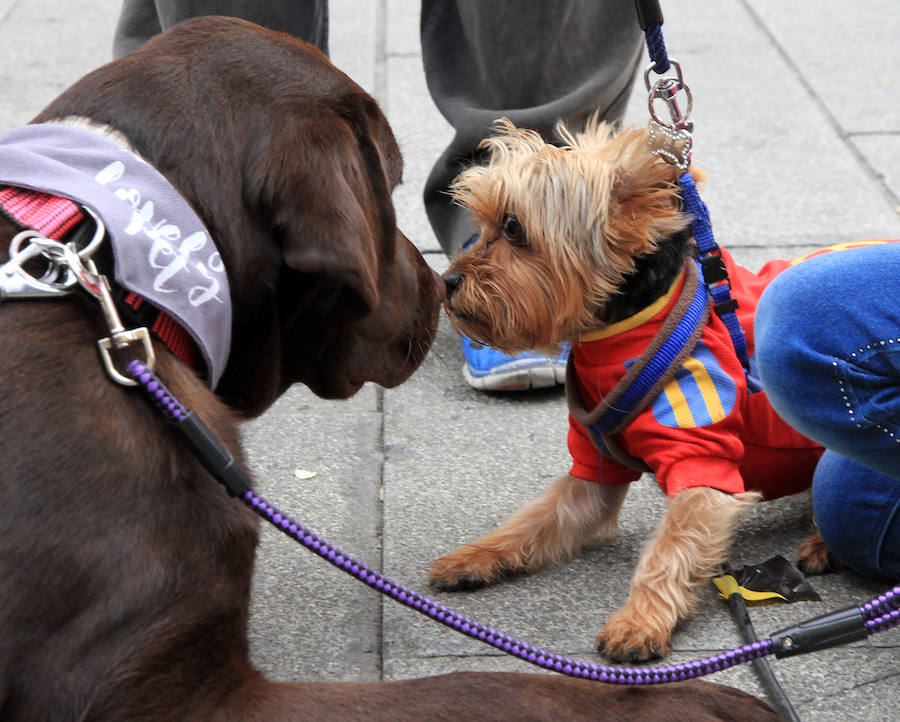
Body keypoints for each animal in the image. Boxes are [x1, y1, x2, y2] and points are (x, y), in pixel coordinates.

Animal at [432, 118, 828, 660]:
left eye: (514, 228)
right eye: (485, 225)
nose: (446, 281)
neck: (628, 327)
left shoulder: (703, 463)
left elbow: (671, 549)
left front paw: (639, 621)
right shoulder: (594, 468)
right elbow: (534, 518)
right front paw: (477, 556)